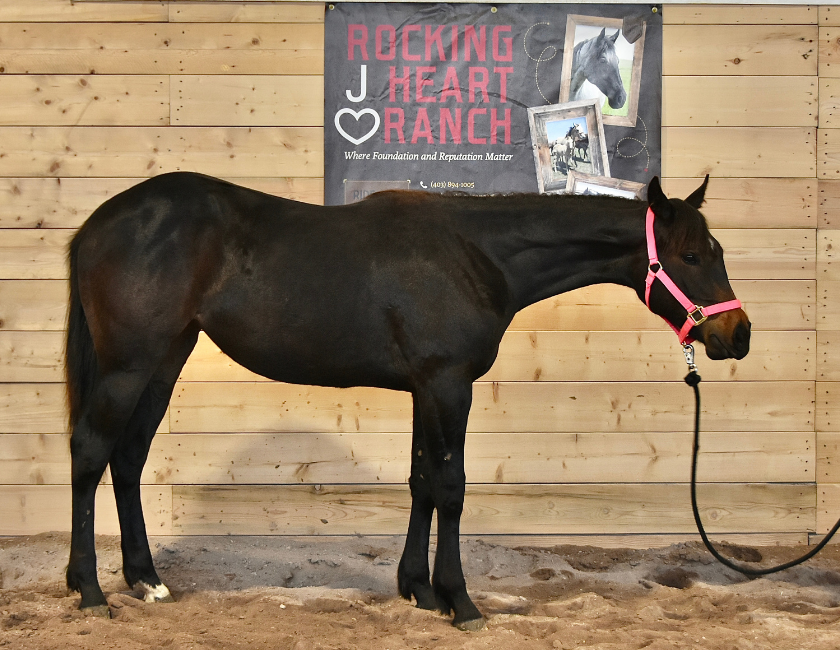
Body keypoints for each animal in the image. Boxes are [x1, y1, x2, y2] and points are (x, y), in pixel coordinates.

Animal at [64, 173, 750, 630]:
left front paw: (418, 589)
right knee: (91, 453)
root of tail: (97, 224)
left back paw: (147, 581)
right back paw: (89, 590)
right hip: (130, 366)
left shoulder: (428, 388)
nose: (737, 334)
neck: (477, 255)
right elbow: (451, 487)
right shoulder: (448, 384)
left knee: (127, 459)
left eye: (717, 251)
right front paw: (460, 601)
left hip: (163, 362)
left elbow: (422, 480)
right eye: (692, 255)